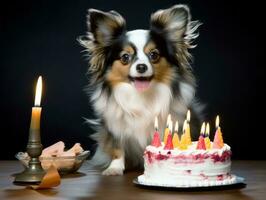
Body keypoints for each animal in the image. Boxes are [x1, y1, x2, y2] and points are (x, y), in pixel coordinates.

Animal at [79, 3, 204, 175]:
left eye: (154, 55)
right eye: (125, 57)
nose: (141, 67)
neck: (140, 95)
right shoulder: (115, 127)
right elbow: (117, 148)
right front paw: (114, 168)